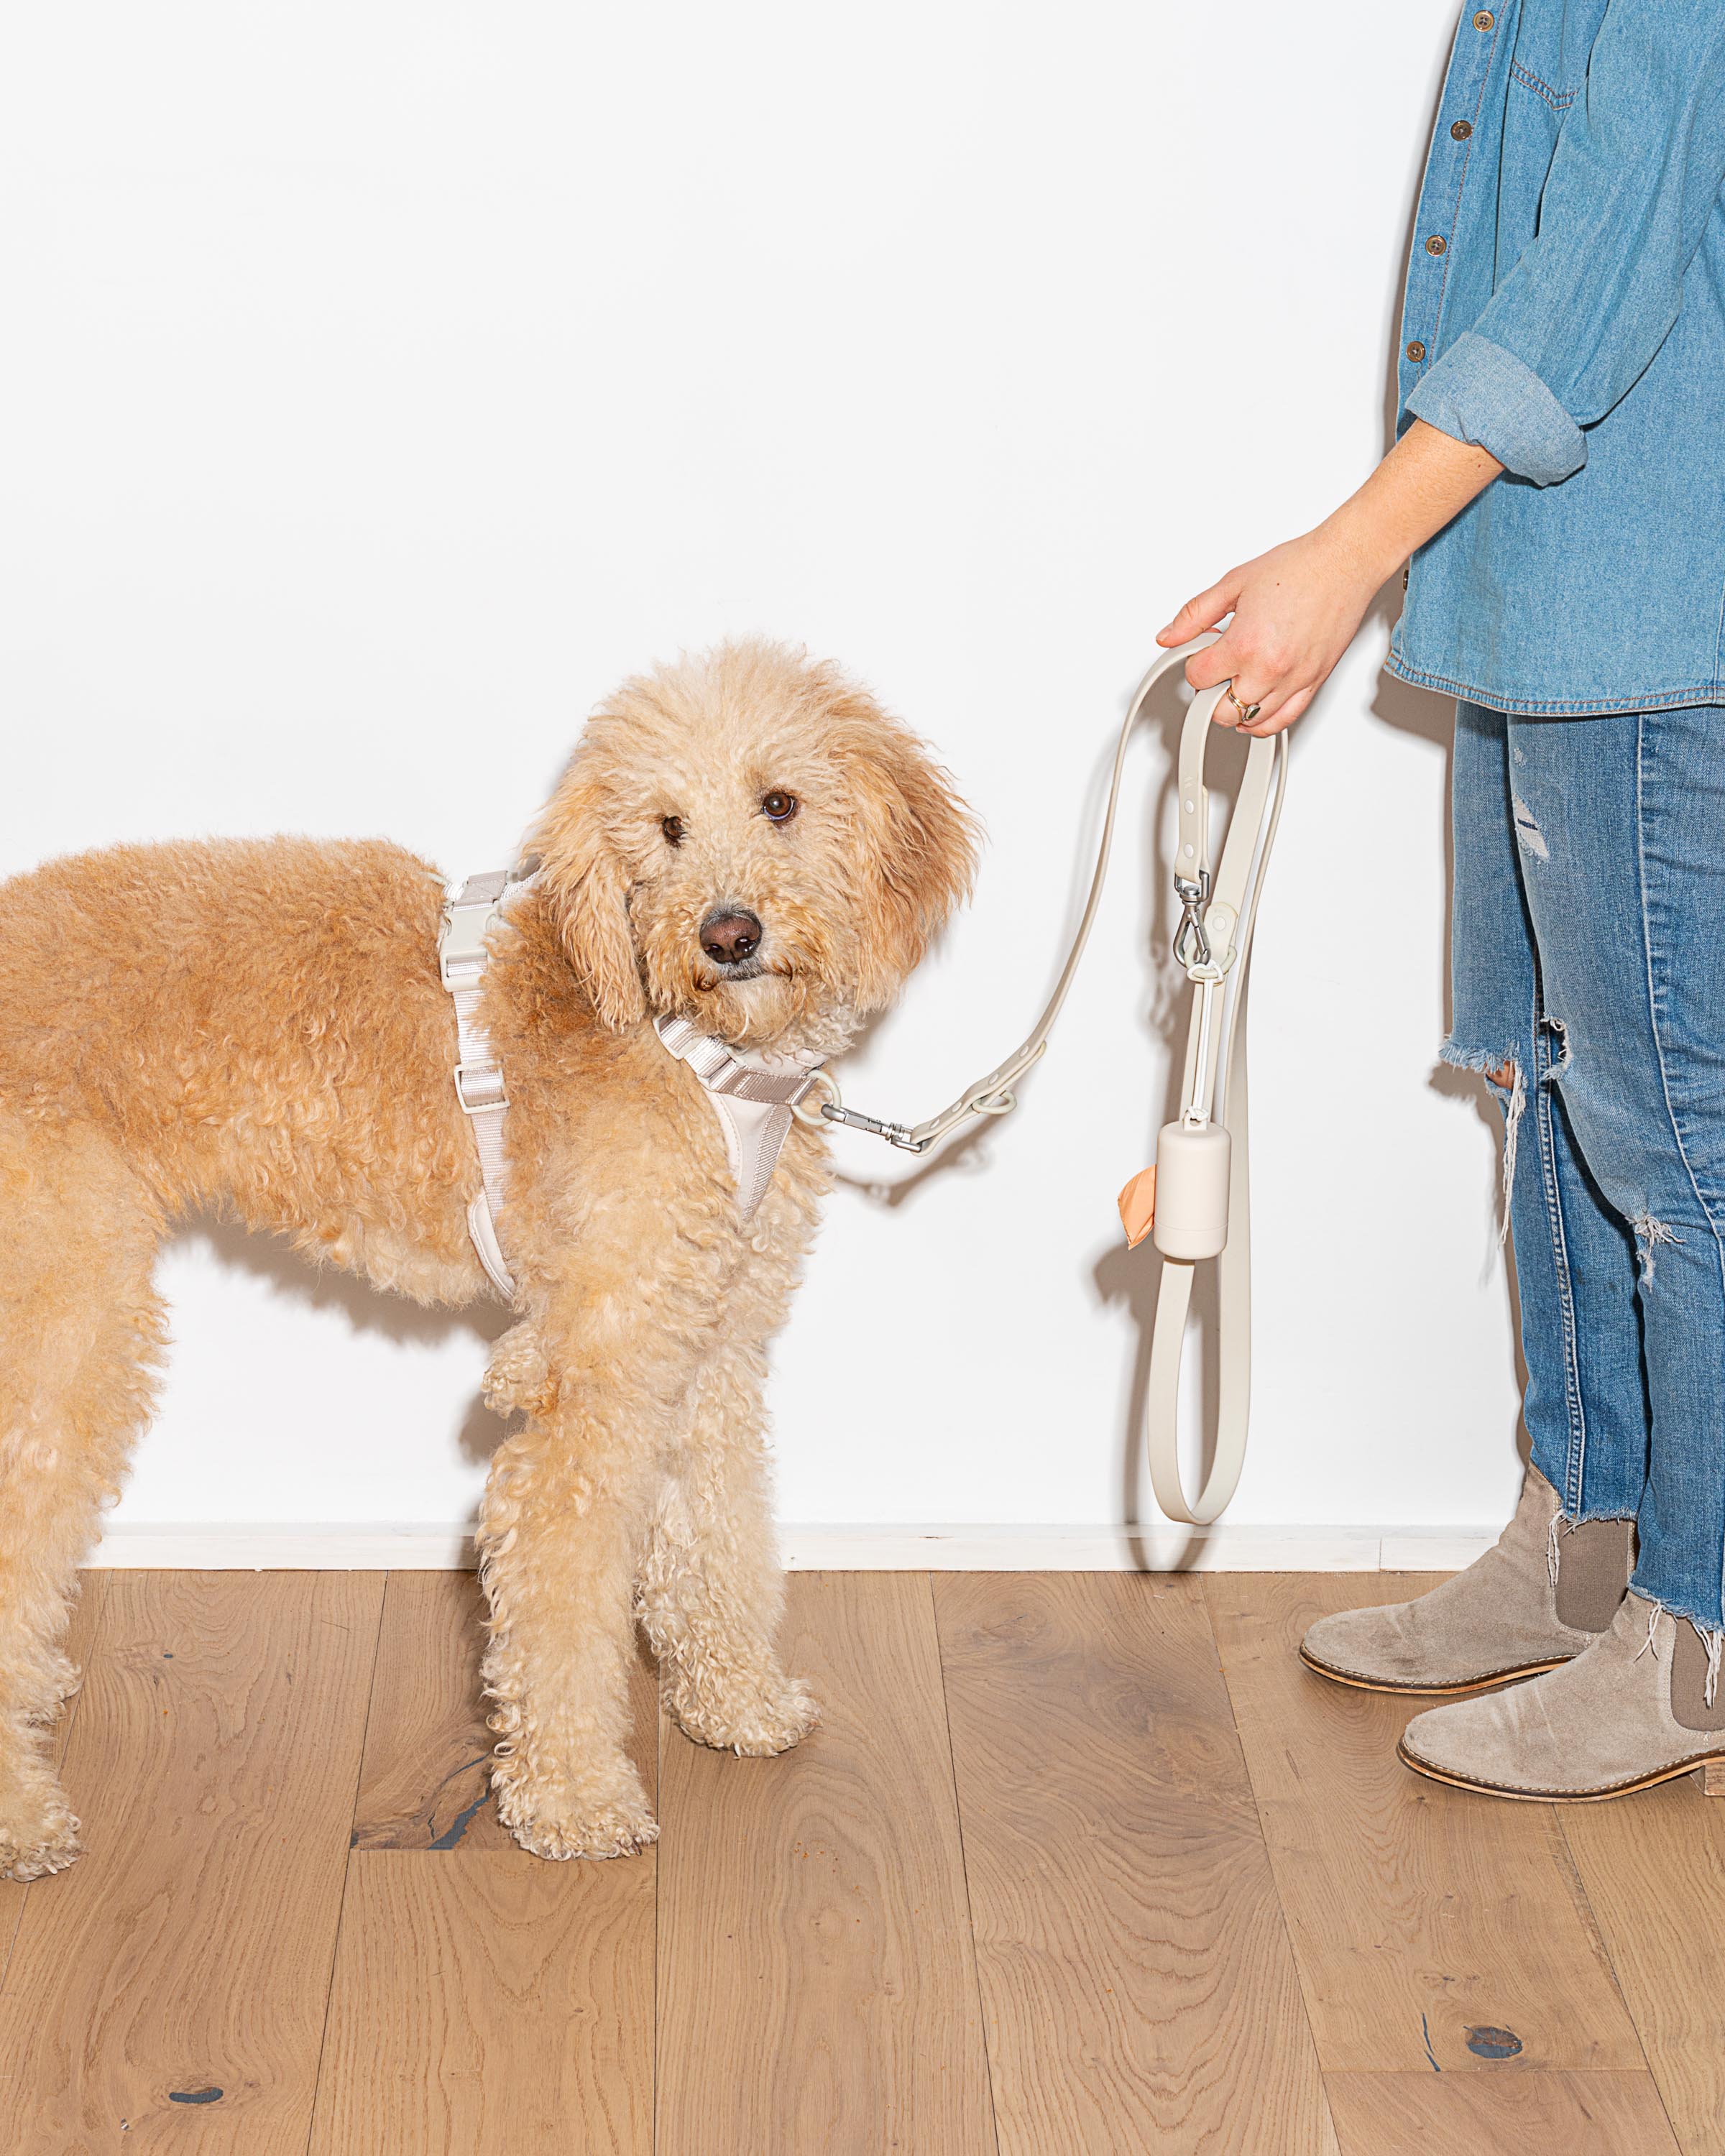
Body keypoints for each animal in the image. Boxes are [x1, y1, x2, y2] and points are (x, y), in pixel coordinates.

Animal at [0, 638, 979, 1871]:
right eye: (665, 825)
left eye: (781, 803)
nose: (729, 933)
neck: (686, 1044)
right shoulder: (589, 1381)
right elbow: (562, 1592)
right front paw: (574, 1800)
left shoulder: (702, 1346)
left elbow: (715, 1537)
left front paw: (735, 1704)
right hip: (65, 1318)